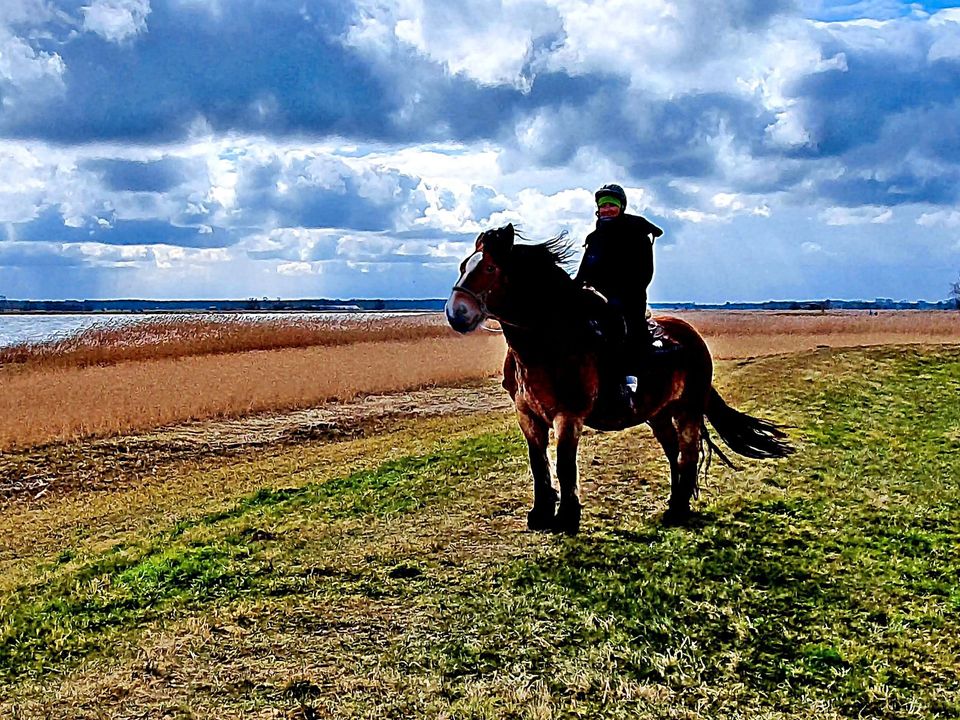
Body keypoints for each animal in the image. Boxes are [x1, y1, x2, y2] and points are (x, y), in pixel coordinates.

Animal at [446, 225, 792, 536]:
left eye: (490, 267)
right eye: (463, 266)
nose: (455, 313)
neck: (549, 343)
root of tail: (692, 338)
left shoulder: (568, 416)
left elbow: (565, 465)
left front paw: (567, 518)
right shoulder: (527, 415)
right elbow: (538, 463)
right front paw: (541, 514)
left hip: (688, 410)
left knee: (688, 453)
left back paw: (678, 509)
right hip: (658, 414)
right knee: (674, 453)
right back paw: (673, 504)